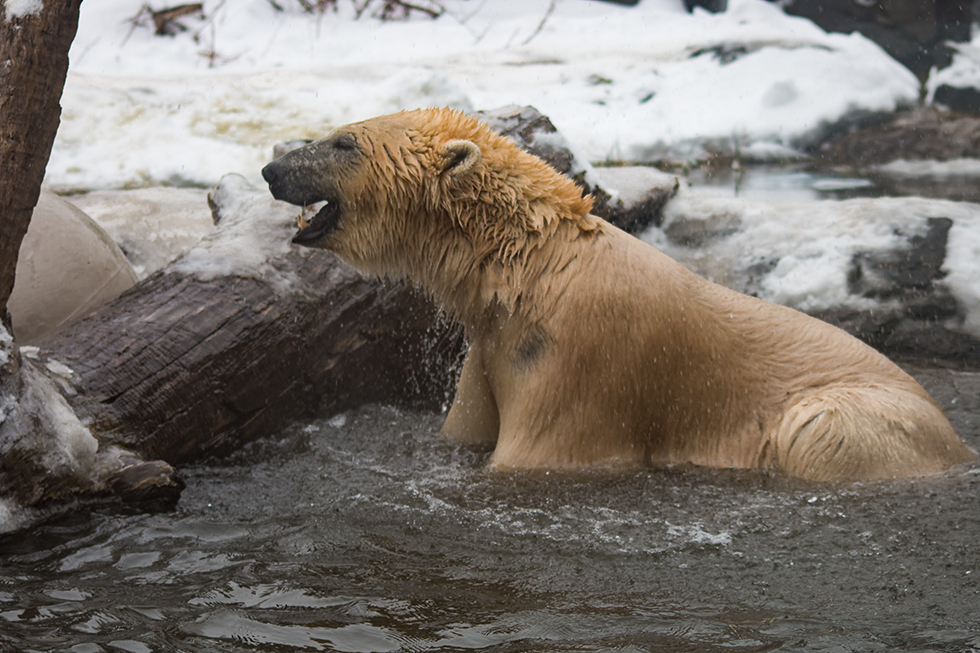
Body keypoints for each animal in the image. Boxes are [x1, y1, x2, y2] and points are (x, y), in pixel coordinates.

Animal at [260, 109, 972, 482]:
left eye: (344, 141)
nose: (271, 169)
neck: (533, 268)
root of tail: (962, 446)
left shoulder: (578, 359)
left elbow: (536, 457)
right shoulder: (493, 349)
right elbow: (463, 433)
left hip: (867, 416)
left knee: (818, 429)